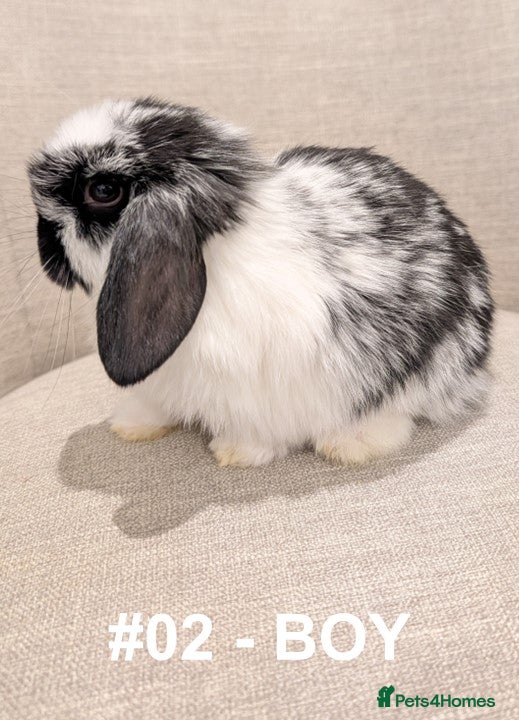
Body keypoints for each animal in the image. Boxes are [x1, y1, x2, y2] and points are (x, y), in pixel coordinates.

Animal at [28, 97, 493, 467]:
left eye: (103, 191)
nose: (45, 249)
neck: (213, 257)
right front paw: (131, 425)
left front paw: (234, 453)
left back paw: (352, 444)